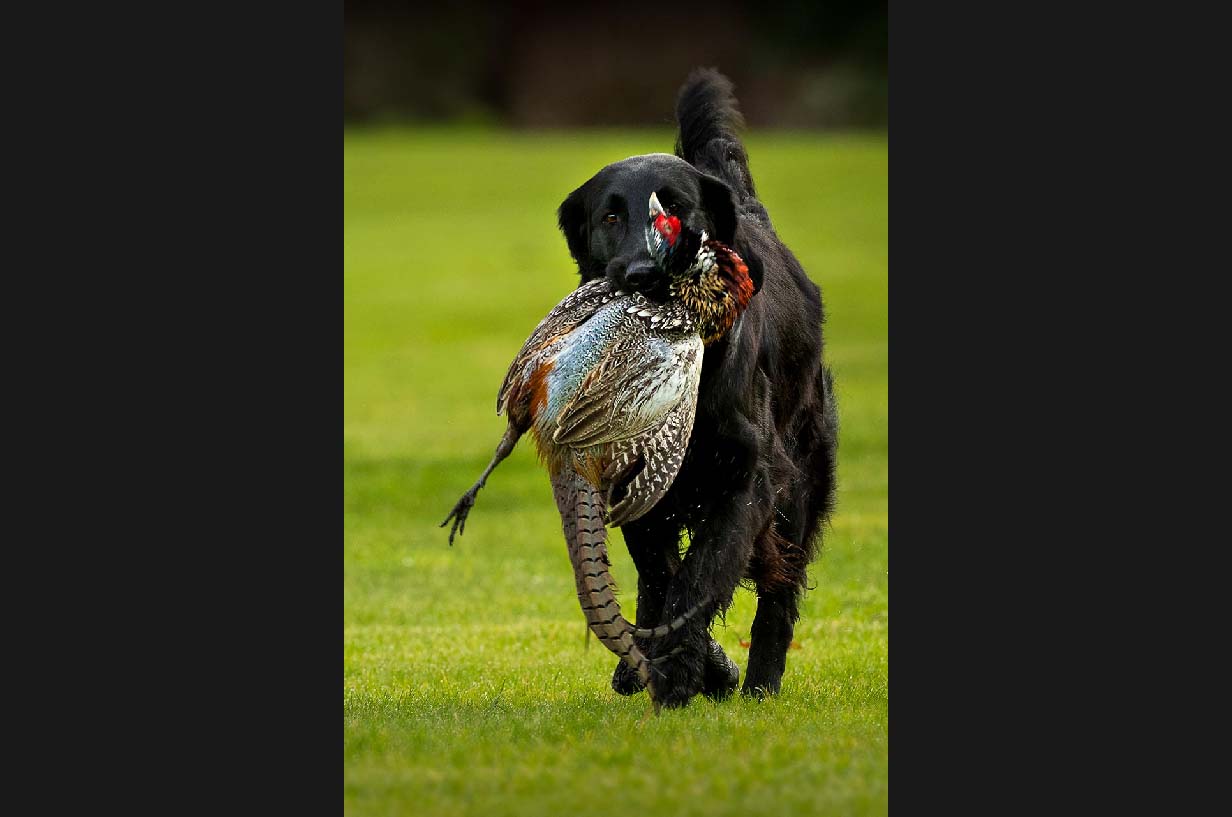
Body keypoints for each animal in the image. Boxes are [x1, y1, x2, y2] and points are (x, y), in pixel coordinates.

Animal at [556, 71, 837, 709]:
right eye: (610, 218)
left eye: (678, 208)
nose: (643, 274)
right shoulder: (636, 482)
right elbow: (662, 578)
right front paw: (681, 668)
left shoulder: (747, 475)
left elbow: (702, 576)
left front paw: (686, 675)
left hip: (804, 480)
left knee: (779, 594)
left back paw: (758, 684)